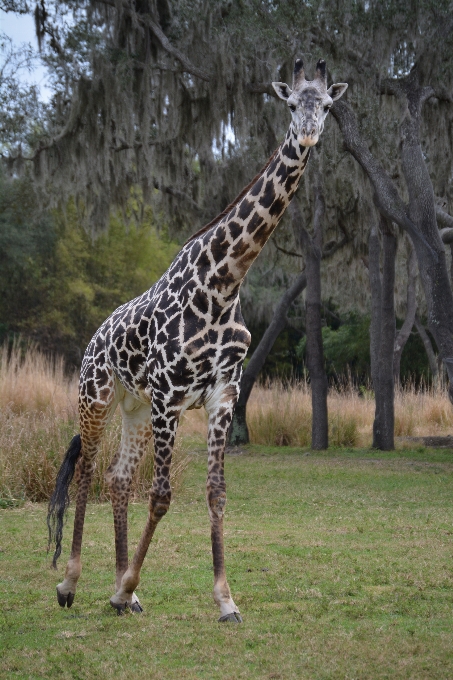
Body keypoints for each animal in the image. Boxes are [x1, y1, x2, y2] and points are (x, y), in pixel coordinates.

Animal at [47, 58, 348, 620]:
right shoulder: (169, 397)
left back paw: (125, 594)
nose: (307, 134)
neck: (223, 282)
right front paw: (125, 584)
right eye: (291, 103)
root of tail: (94, 338)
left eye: (326, 105)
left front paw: (224, 599)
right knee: (86, 473)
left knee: (118, 477)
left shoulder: (221, 396)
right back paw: (72, 585)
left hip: (135, 409)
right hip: (96, 398)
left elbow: (216, 493)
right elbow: (163, 495)